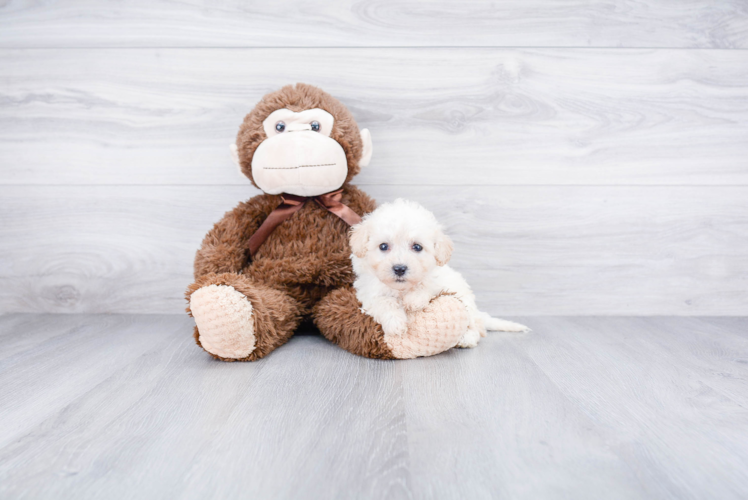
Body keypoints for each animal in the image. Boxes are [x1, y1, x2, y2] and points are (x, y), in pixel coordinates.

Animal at [350, 198, 528, 348]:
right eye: (383, 246)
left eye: (417, 247)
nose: (400, 268)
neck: (401, 289)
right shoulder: (369, 293)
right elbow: (384, 302)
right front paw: (396, 323)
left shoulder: (440, 282)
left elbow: (427, 285)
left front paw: (414, 299)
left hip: (467, 303)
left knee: (476, 327)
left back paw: (466, 339)